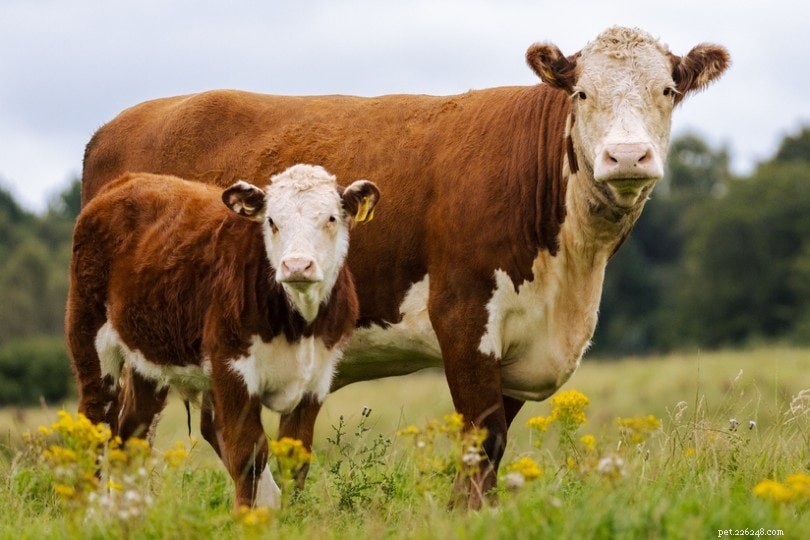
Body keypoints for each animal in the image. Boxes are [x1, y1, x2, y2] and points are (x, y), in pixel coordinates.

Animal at [66, 164, 380, 508]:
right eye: (272, 221)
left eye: (331, 218)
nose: (297, 265)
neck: (299, 323)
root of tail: (129, 180)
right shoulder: (231, 368)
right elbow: (248, 454)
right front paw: (246, 516)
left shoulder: (316, 378)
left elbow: (295, 457)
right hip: (90, 337)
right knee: (94, 422)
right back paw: (86, 510)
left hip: (148, 357)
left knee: (131, 434)